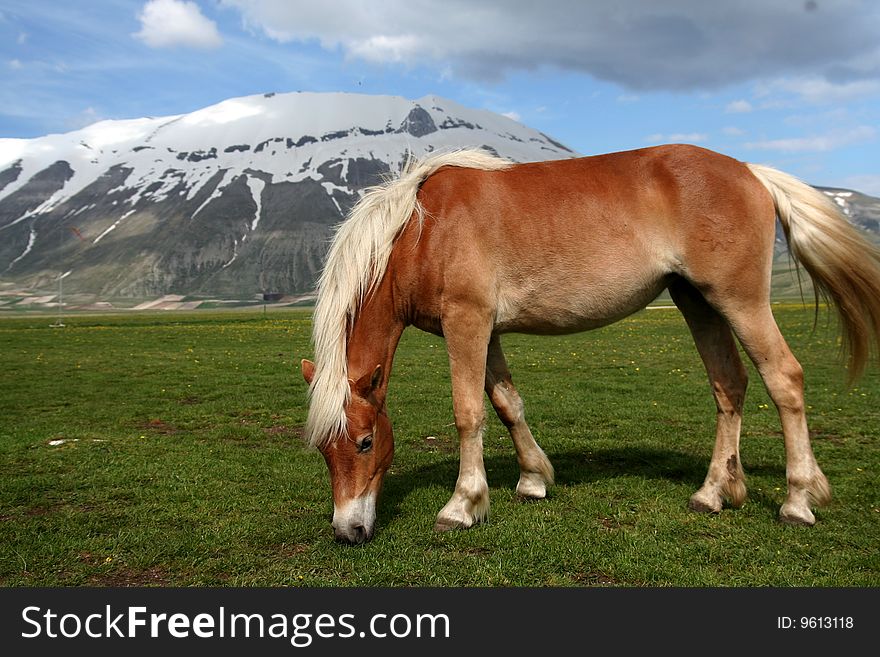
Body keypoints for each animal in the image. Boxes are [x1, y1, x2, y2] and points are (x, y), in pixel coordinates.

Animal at [300, 144, 880, 544]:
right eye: (324, 450)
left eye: (365, 443)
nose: (347, 531)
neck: (423, 229)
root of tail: (751, 171)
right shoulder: (484, 331)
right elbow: (506, 404)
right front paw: (534, 479)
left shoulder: (468, 322)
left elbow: (469, 412)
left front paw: (463, 505)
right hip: (697, 301)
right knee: (729, 386)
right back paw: (714, 492)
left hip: (740, 300)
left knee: (784, 378)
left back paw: (797, 500)